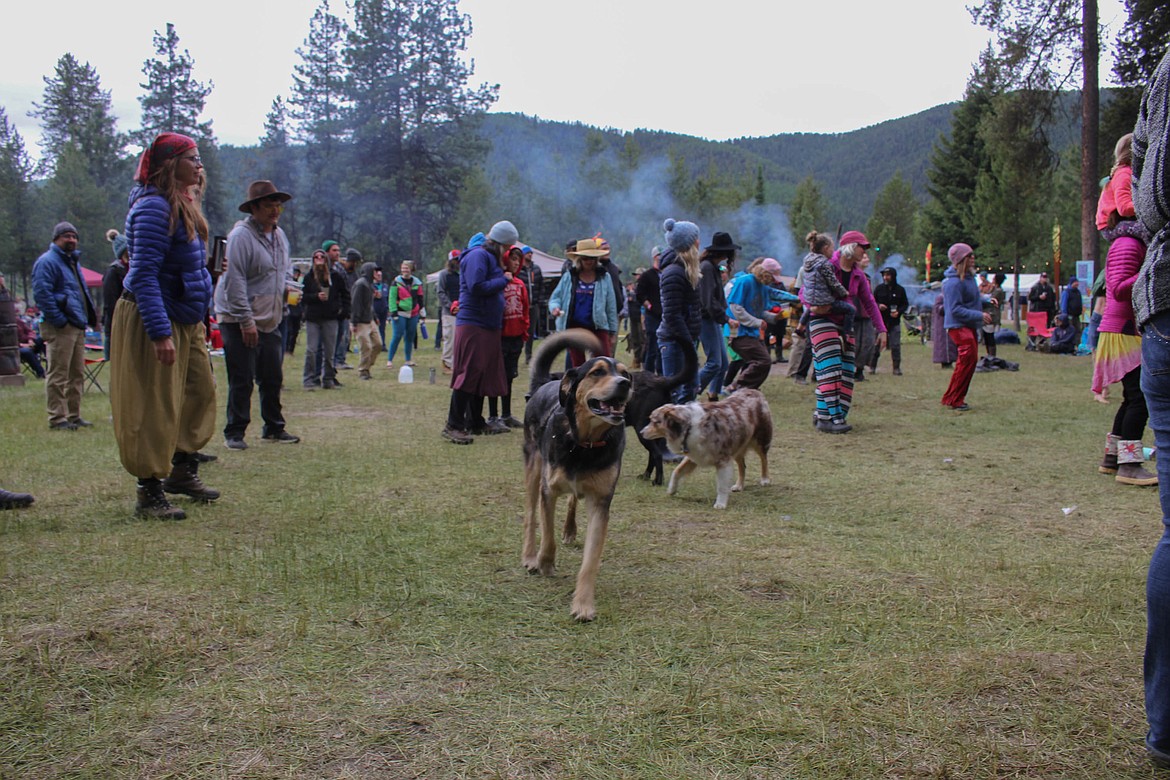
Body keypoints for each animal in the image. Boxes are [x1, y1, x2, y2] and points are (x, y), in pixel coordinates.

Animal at [524, 329, 631, 622]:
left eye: (626, 374)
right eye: (597, 372)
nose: (625, 384)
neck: (585, 443)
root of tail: (544, 383)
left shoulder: (601, 501)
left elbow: (590, 561)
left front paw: (583, 605)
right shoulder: (548, 490)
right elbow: (546, 531)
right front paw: (545, 562)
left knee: (573, 499)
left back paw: (570, 529)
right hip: (533, 466)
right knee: (530, 515)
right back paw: (529, 556)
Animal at [627, 339, 697, 484]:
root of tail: (662, 381)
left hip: (641, 428)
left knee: (657, 454)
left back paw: (657, 480)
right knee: (653, 454)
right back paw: (646, 475)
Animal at [636, 388, 772, 509]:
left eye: (656, 422)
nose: (641, 432)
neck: (688, 428)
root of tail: (754, 390)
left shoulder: (723, 460)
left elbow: (721, 486)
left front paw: (720, 504)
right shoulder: (694, 455)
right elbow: (677, 472)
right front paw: (671, 490)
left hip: (761, 440)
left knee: (764, 459)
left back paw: (765, 479)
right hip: (738, 445)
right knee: (742, 465)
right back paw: (739, 485)